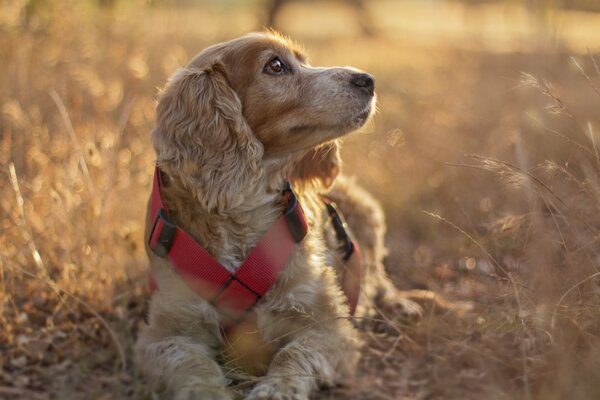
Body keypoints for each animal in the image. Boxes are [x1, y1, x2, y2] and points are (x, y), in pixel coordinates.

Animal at [134, 32, 420, 400]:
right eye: (275, 65)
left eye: (305, 61)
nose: (367, 80)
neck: (242, 214)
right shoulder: (166, 331)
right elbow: (191, 365)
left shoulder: (329, 327)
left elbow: (293, 355)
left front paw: (276, 389)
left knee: (380, 279)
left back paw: (402, 306)